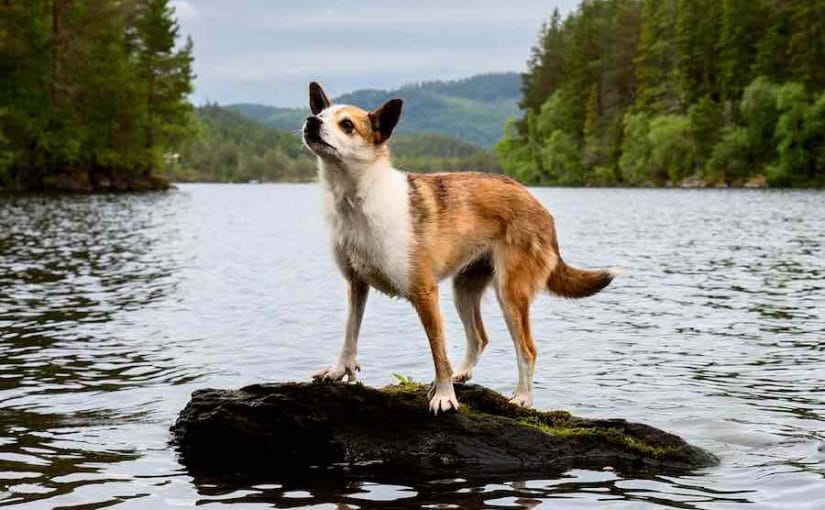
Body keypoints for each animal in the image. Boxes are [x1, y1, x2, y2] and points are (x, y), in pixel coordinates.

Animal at [300, 80, 616, 414]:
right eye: (320, 114)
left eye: (346, 125)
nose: (311, 122)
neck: (358, 200)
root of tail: (541, 208)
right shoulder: (357, 285)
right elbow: (350, 334)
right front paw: (339, 370)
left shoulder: (425, 293)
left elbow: (439, 351)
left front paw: (443, 396)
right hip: (464, 288)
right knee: (479, 338)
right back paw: (462, 374)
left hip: (510, 293)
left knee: (527, 349)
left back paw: (522, 397)